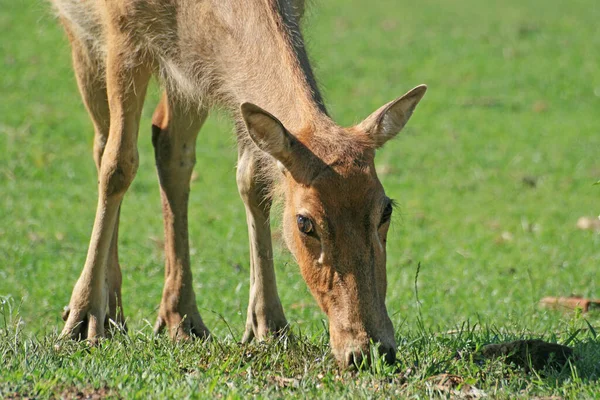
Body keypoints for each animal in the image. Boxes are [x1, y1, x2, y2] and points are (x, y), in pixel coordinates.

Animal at [51, 0, 426, 368]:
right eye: (305, 223)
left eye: (386, 209)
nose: (370, 350)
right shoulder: (120, 29)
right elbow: (118, 165)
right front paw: (79, 322)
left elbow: (253, 178)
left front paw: (270, 326)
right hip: (83, 34)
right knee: (103, 144)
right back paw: (108, 313)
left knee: (170, 144)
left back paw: (181, 319)